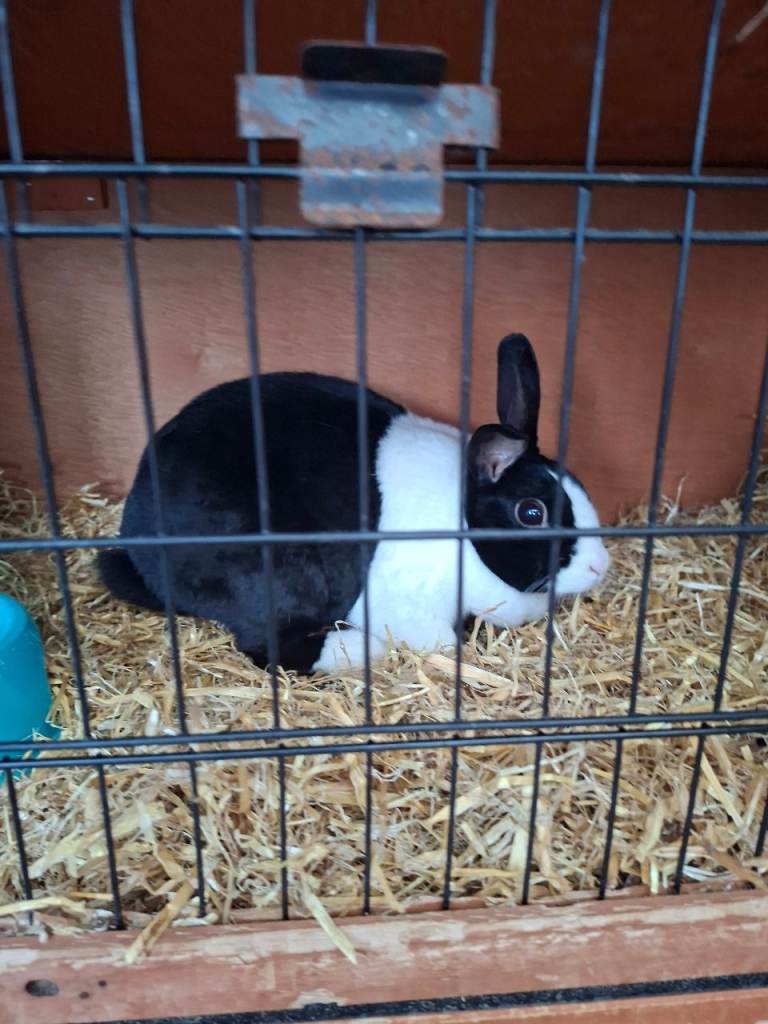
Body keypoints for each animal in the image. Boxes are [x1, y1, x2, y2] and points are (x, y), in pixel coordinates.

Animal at [98, 333, 610, 673]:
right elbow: (442, 643)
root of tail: (140, 548)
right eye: (531, 513)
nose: (599, 566)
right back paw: (360, 650)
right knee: (271, 645)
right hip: (278, 573)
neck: (464, 529)